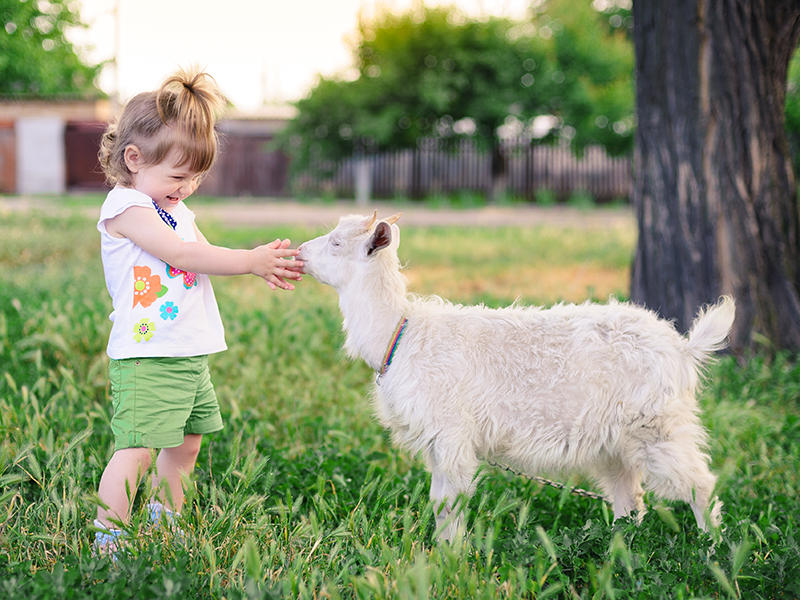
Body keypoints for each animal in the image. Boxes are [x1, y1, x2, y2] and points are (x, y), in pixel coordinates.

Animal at [298, 213, 736, 540]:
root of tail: (682, 348)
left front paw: (451, 556)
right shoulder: (437, 439)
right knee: (630, 497)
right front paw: (441, 552)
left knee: (699, 483)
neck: (400, 331)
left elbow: (449, 501)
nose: (299, 252)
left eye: (336, 243)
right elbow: (439, 498)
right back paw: (620, 547)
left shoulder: (451, 431)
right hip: (615, 439)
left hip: (659, 423)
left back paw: (711, 548)